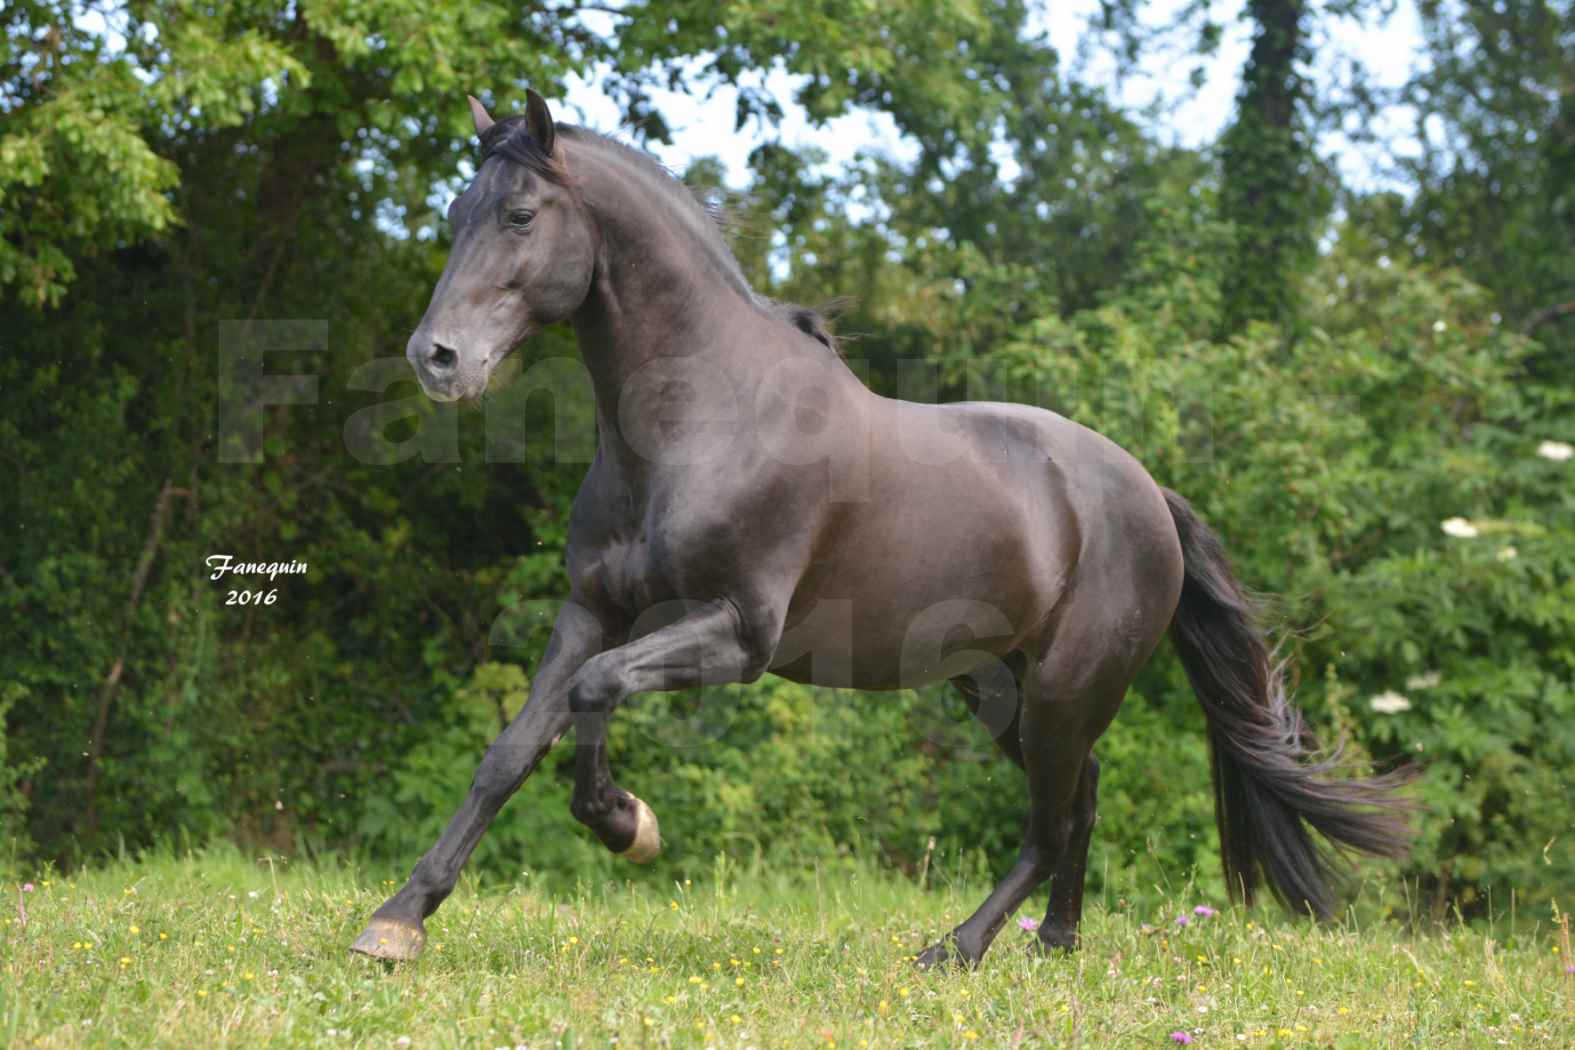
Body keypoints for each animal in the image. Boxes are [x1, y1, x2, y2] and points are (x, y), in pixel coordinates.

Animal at [354, 94, 1417, 963]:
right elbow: (511, 751)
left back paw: (956, 950)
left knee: (1048, 819)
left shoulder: (737, 634)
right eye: (453, 216)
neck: (697, 422)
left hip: (1064, 686)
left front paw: (627, 825)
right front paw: (398, 921)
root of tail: (1147, 493)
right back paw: (1053, 945)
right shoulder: (593, 609)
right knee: (1078, 797)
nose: (435, 358)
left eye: (520, 215)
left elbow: (595, 690)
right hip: (998, 688)